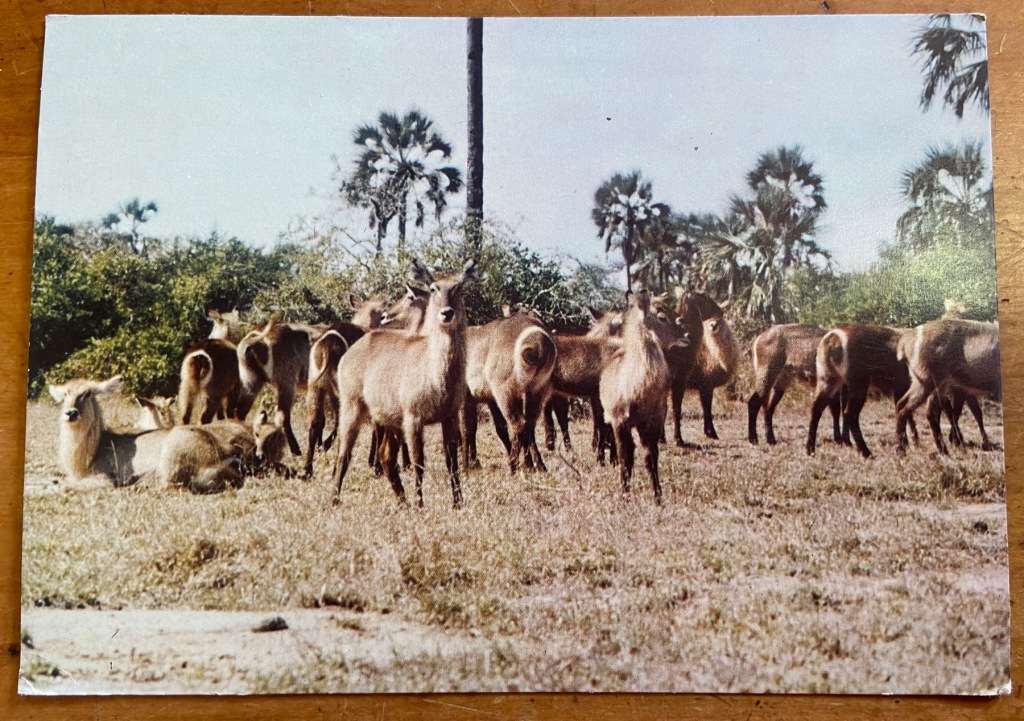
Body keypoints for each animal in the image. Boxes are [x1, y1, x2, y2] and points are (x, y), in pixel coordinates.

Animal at [330, 259, 476, 507]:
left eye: (458, 288)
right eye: (433, 288)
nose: (447, 313)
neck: (437, 374)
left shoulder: (449, 417)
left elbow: (452, 463)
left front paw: (458, 503)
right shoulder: (413, 419)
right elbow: (419, 463)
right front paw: (420, 504)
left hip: (388, 420)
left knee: (386, 456)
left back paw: (402, 501)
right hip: (352, 408)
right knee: (344, 454)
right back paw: (335, 499)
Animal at [463, 310, 558, 473]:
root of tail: (539, 342)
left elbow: (464, 431)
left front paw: (464, 466)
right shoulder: (488, 400)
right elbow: (495, 428)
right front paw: (474, 463)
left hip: (505, 392)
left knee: (519, 424)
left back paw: (513, 467)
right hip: (536, 391)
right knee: (528, 425)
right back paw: (537, 465)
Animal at [599, 291, 671, 503]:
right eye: (662, 317)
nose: (687, 335)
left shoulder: (652, 422)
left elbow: (650, 457)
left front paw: (658, 496)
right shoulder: (620, 421)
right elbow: (624, 457)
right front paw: (624, 494)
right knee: (627, 452)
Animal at [806, 325, 919, 458]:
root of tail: (833, 337)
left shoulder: (900, 387)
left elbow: (904, 411)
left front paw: (910, 443)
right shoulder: (903, 385)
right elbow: (905, 411)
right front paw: (907, 444)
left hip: (828, 379)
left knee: (817, 408)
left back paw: (810, 449)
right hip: (858, 384)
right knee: (849, 413)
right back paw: (865, 452)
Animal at [896, 319, 1000, 454]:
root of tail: (906, 342)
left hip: (934, 384)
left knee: (920, 409)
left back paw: (940, 449)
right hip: (927, 381)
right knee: (905, 407)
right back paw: (902, 449)